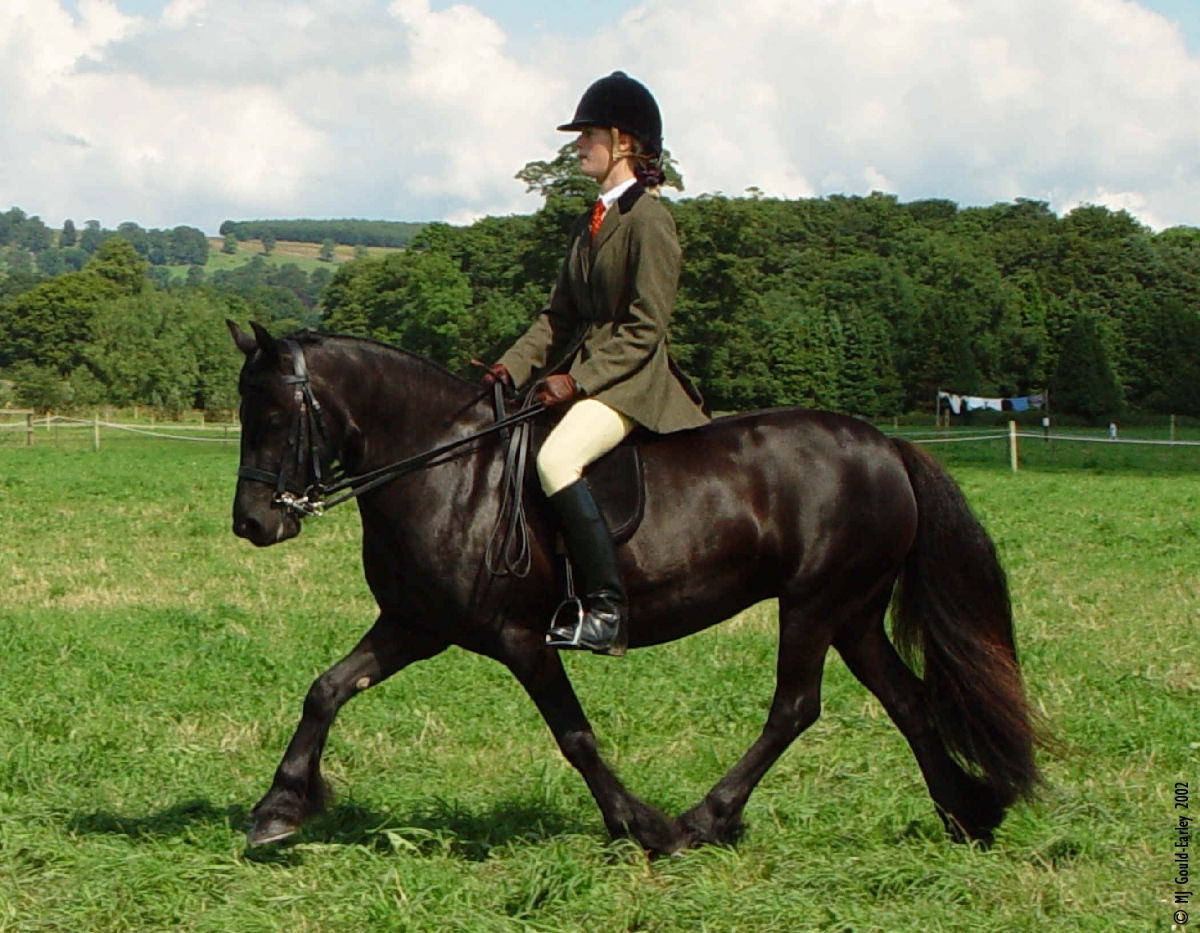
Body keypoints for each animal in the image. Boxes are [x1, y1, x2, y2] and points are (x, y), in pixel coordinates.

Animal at [228, 321, 1038, 855]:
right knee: (906, 700)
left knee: (795, 708)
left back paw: (704, 821)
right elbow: (328, 688)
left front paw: (641, 825)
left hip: (815, 603)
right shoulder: (415, 623)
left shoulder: (518, 638)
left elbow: (574, 734)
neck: (444, 467)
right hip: (855, 613)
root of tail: (887, 447)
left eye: (274, 414)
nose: (253, 523)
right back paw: (969, 814)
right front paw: (278, 807)